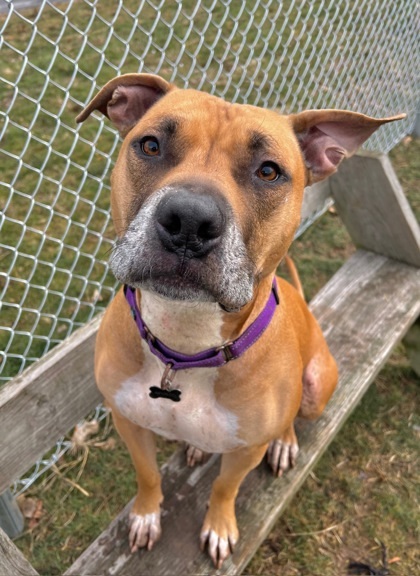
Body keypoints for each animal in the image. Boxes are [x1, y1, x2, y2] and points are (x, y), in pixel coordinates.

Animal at [76, 75, 404, 568]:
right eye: (150, 145)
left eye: (268, 171)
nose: (189, 220)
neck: (185, 344)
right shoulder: (126, 419)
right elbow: (148, 475)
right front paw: (146, 516)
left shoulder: (247, 447)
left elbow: (224, 487)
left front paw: (218, 527)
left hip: (314, 386)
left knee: (292, 416)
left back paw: (285, 441)